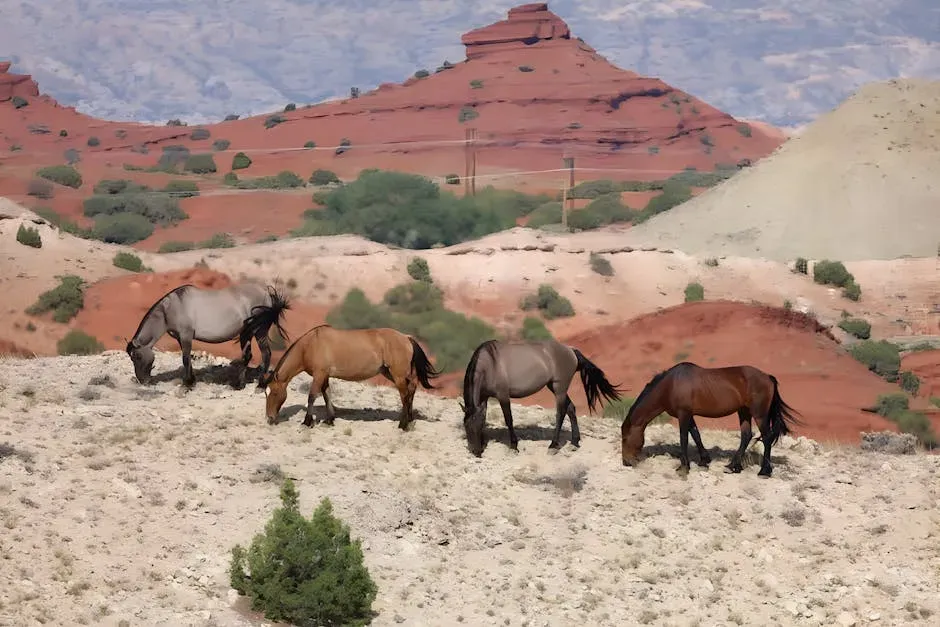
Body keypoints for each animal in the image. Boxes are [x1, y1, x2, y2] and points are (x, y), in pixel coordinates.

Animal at [125, 282, 290, 389]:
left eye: (137, 356)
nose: (143, 380)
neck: (171, 309)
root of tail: (267, 294)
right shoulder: (180, 338)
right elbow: (187, 358)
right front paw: (191, 380)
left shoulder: (186, 335)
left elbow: (185, 359)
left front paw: (187, 384)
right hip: (247, 332)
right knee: (247, 356)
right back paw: (239, 385)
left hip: (259, 330)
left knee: (266, 354)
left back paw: (261, 385)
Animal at [260, 325, 440, 430]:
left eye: (273, 393)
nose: (269, 417)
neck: (310, 345)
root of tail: (406, 337)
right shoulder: (325, 376)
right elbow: (326, 395)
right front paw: (329, 420)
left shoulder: (319, 374)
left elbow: (312, 396)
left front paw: (307, 422)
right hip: (391, 373)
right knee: (412, 389)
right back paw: (410, 420)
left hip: (398, 374)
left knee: (404, 394)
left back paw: (403, 425)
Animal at [460, 339, 622, 457]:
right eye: (466, 426)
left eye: (476, 426)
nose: (475, 452)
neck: (490, 364)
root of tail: (571, 350)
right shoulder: (484, 397)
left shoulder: (503, 396)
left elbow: (509, 419)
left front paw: (514, 446)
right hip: (553, 386)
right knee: (571, 408)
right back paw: (574, 442)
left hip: (559, 388)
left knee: (561, 413)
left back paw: (553, 445)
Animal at [620, 362, 803, 477]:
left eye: (624, 438)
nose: (626, 462)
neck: (670, 385)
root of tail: (768, 377)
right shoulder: (688, 415)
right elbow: (695, 434)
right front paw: (704, 460)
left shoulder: (683, 414)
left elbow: (684, 438)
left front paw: (683, 467)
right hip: (743, 412)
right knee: (746, 435)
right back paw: (733, 467)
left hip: (759, 414)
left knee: (766, 437)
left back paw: (764, 471)